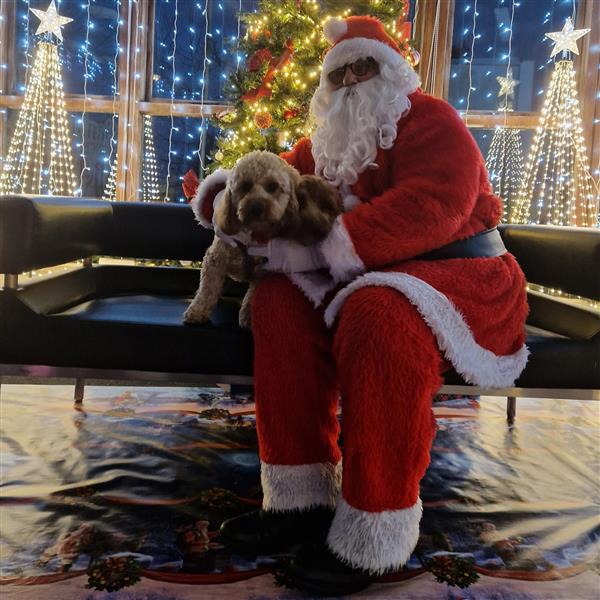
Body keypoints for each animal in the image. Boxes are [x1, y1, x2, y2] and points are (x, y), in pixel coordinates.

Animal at [183, 150, 342, 328]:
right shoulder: (215, 260)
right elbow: (207, 289)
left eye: (273, 186)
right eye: (245, 186)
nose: (256, 207)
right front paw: (198, 311)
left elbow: (252, 295)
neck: (253, 235)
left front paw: (247, 317)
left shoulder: (263, 271)